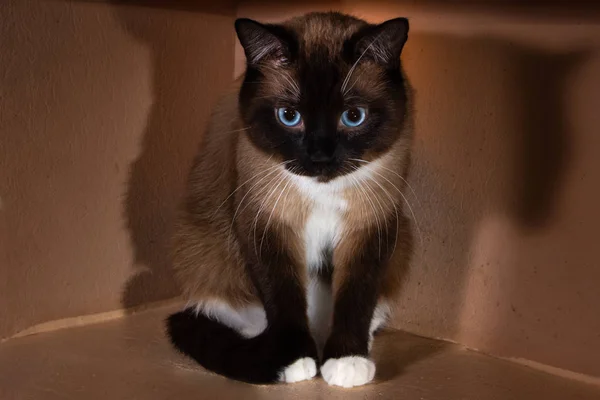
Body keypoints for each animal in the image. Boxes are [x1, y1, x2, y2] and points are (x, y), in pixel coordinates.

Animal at [166, 11, 414, 388]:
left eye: (353, 116)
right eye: (289, 116)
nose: (320, 156)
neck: (322, 189)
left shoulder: (370, 227)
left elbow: (357, 296)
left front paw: (347, 360)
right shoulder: (267, 225)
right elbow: (282, 295)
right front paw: (294, 359)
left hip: (404, 235)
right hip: (201, 244)